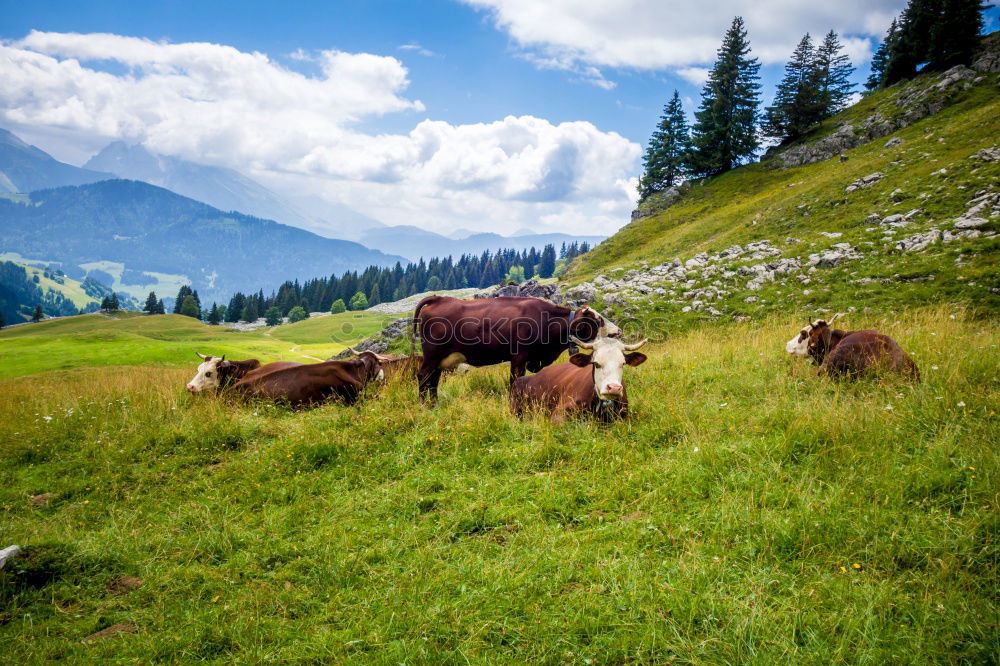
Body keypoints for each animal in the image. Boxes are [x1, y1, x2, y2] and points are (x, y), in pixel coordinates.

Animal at [412, 294, 616, 400]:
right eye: (597, 320)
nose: (617, 332)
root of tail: (439, 298)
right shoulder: (520, 356)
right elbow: (515, 381)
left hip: (440, 360)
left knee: (433, 380)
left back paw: (434, 404)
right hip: (432, 355)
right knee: (423, 377)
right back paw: (425, 406)